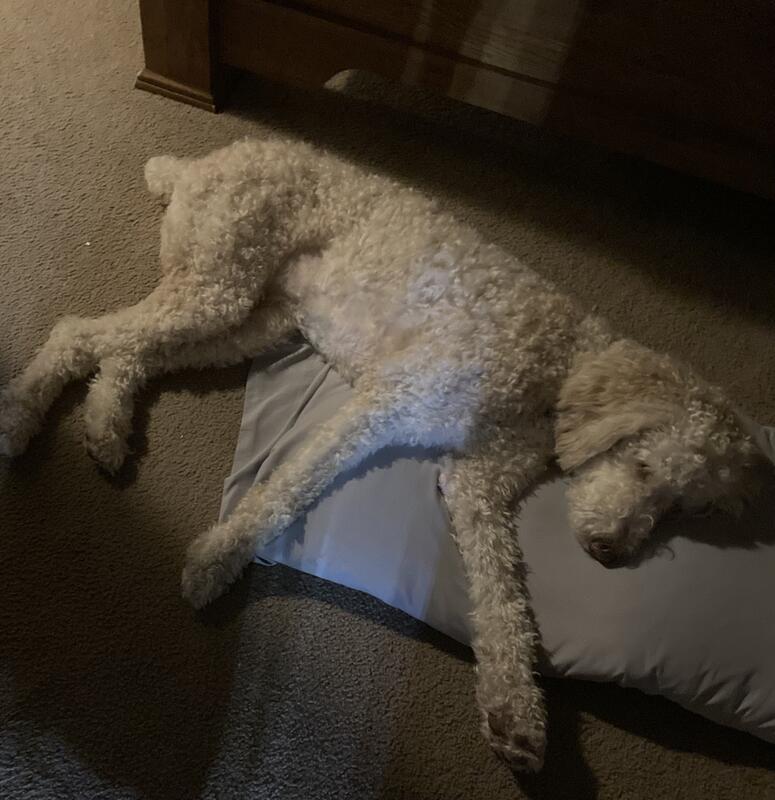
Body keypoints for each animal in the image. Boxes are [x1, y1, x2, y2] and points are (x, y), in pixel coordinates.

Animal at [0, 137, 765, 770]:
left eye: (679, 506)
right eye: (642, 465)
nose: (609, 552)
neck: (549, 373)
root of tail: (202, 161)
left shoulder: (477, 485)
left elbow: (504, 598)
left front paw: (515, 712)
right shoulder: (384, 405)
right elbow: (287, 488)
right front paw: (218, 558)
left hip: (254, 320)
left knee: (126, 351)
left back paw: (105, 425)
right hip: (218, 289)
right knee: (79, 332)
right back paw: (20, 418)